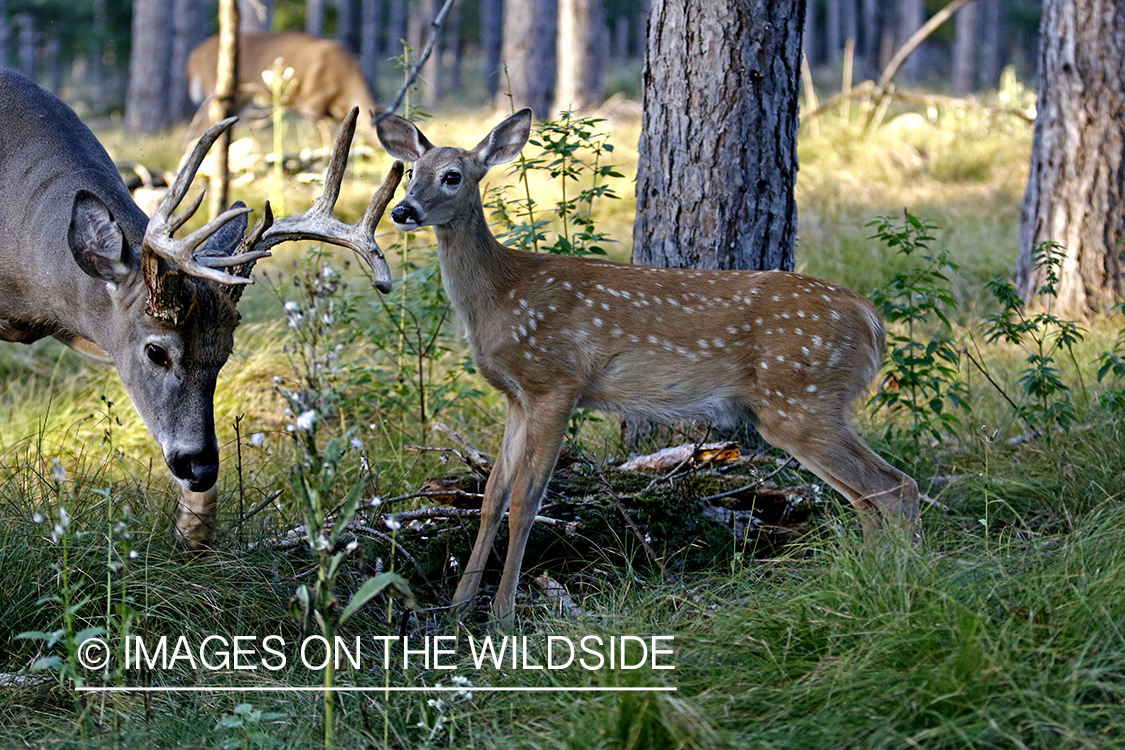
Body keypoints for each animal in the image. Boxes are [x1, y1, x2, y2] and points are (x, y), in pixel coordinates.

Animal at [373, 108, 918, 629]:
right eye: (410, 173)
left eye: (452, 176)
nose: (402, 211)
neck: (501, 296)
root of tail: (871, 319)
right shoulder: (516, 396)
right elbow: (492, 495)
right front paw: (459, 606)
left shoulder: (556, 381)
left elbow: (526, 501)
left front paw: (502, 616)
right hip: (803, 405)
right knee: (870, 497)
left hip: (802, 398)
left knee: (894, 487)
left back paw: (896, 585)